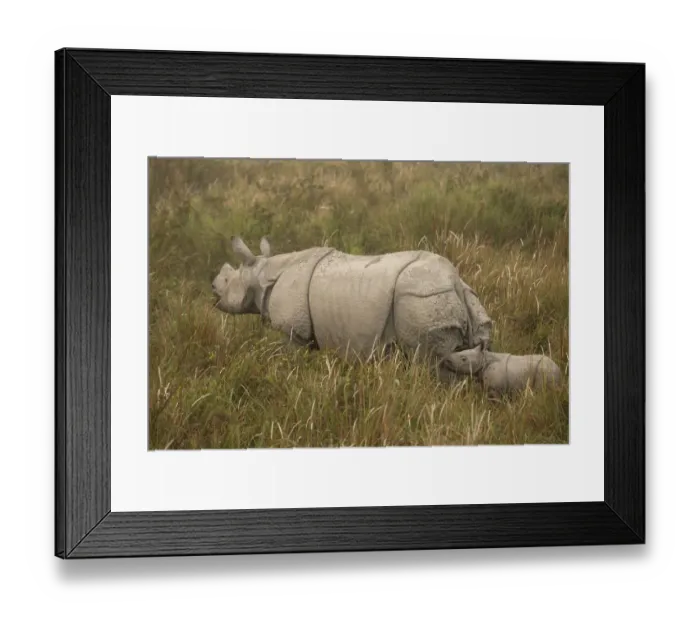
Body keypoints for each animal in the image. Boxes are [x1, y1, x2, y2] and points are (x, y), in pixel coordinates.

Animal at [211, 236, 493, 377]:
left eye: (226, 281)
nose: (212, 286)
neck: (261, 275)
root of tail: (452, 280)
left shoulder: (292, 331)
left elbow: (289, 359)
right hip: (460, 296)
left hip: (419, 298)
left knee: (429, 363)